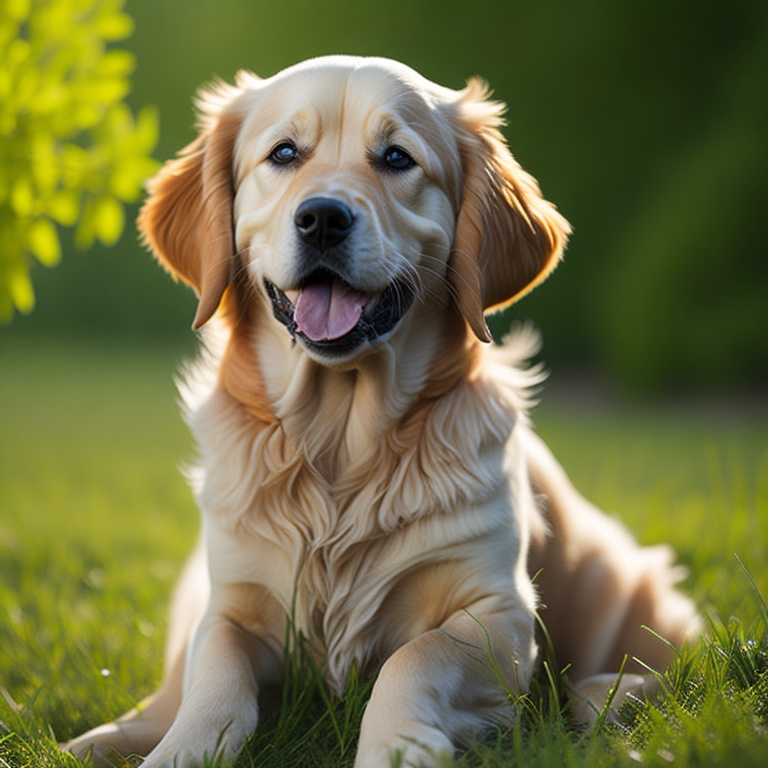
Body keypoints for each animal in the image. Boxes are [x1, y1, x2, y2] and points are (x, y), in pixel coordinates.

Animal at [66, 57, 704, 764]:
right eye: (283, 153)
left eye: (397, 158)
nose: (322, 217)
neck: (344, 443)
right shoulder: (230, 602)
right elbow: (215, 676)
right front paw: (181, 748)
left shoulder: (498, 613)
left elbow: (416, 658)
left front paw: (398, 746)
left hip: (620, 584)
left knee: (653, 668)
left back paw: (605, 699)